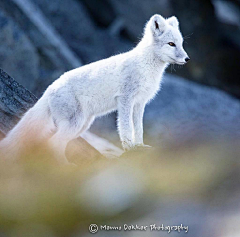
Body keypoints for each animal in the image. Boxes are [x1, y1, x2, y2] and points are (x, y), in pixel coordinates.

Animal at [0, 13, 189, 164]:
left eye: (180, 43)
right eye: (171, 44)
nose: (187, 59)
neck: (147, 67)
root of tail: (49, 89)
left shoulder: (140, 103)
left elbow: (139, 128)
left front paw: (140, 146)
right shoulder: (125, 99)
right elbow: (126, 127)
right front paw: (129, 149)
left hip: (83, 125)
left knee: (55, 144)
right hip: (75, 124)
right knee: (52, 144)